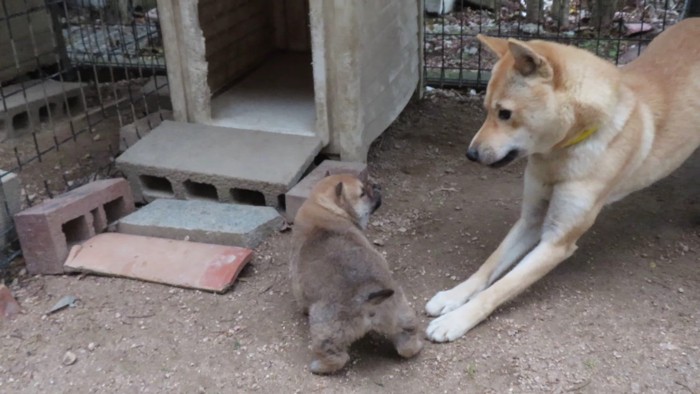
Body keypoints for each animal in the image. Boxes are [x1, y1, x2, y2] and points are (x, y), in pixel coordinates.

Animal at [290, 174, 422, 374]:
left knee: (337, 357)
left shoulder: (298, 284)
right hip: (401, 312)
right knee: (407, 343)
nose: (377, 186)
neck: (323, 206)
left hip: (326, 328)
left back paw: (319, 366)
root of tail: (370, 299)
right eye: (362, 193)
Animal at [424, 17, 700, 342]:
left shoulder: (557, 241)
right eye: (486, 110)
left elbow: (501, 288)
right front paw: (453, 296)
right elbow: (488, 266)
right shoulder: (530, 220)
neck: (558, 157)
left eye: (505, 114)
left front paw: (457, 319)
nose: (470, 154)